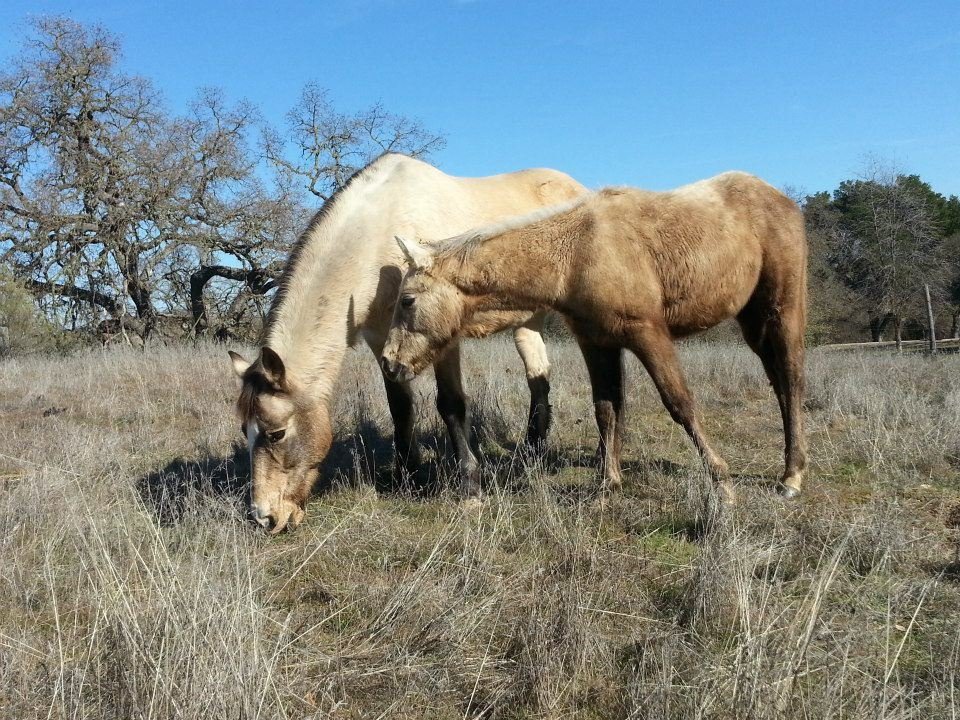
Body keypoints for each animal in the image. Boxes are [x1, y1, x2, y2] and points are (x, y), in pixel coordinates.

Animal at [229, 154, 586, 532]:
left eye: (277, 433)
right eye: (244, 430)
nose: (264, 517)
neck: (381, 233)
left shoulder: (443, 339)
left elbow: (451, 405)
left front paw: (470, 488)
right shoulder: (380, 340)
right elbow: (399, 406)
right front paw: (408, 477)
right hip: (528, 320)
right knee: (538, 379)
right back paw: (533, 451)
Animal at [381, 172, 808, 500]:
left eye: (407, 300)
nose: (390, 362)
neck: (575, 255)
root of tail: (782, 198)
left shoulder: (648, 334)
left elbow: (679, 403)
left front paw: (721, 482)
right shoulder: (597, 342)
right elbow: (606, 407)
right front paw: (608, 483)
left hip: (783, 310)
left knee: (791, 380)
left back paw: (791, 478)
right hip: (753, 322)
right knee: (779, 384)